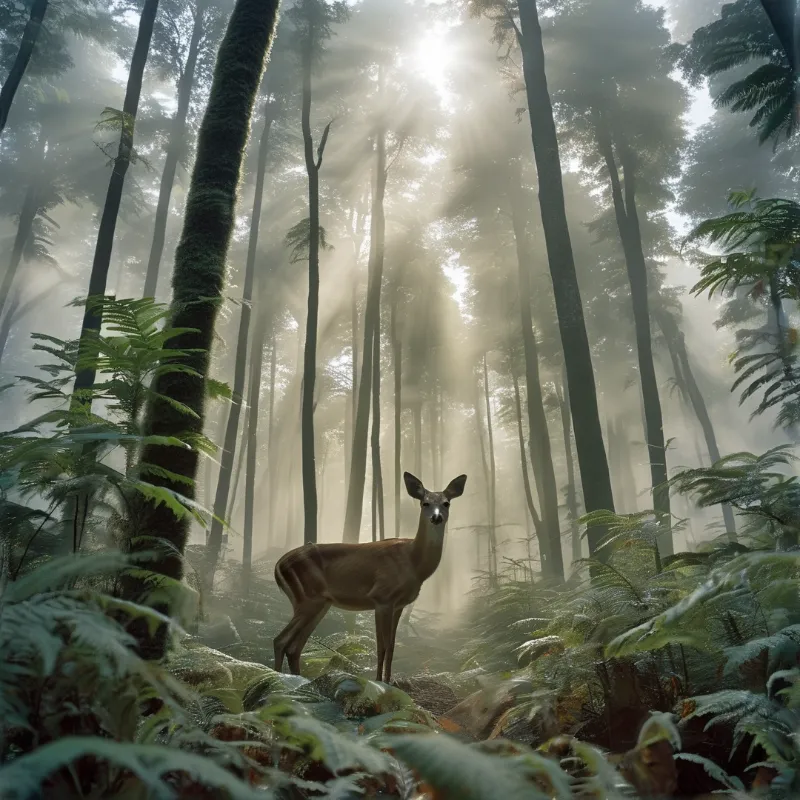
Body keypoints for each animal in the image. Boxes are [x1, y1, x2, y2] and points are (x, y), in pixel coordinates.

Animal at [273, 471, 467, 684]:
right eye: (425, 503)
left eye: (446, 503)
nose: (436, 517)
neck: (414, 563)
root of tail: (278, 566)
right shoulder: (382, 597)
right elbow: (382, 645)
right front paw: (380, 681)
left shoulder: (398, 605)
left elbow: (391, 646)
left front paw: (389, 681)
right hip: (308, 599)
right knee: (280, 640)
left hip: (320, 604)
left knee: (295, 646)